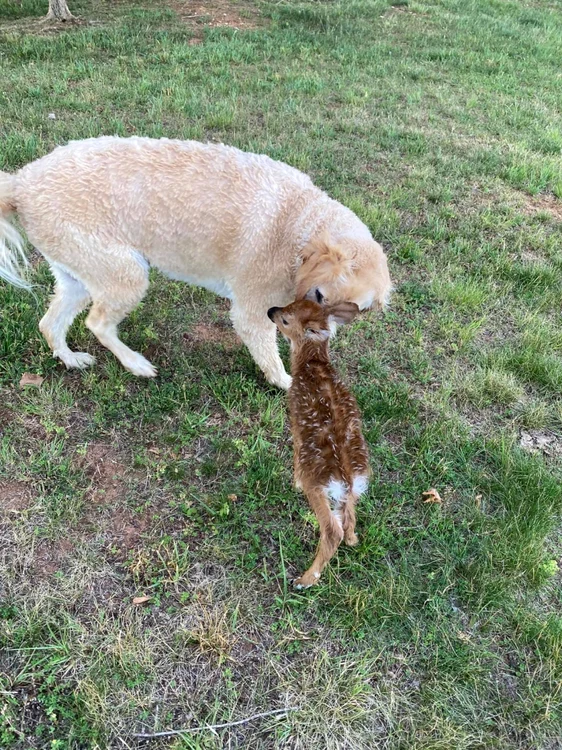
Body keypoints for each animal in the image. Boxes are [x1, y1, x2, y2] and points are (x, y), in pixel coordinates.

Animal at [0, 137, 390, 390]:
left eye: (347, 311)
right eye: (320, 294)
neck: (299, 223)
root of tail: (21, 183)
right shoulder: (253, 312)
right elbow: (269, 352)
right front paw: (285, 382)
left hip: (79, 273)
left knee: (50, 323)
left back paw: (70, 358)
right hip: (125, 272)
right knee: (97, 323)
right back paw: (136, 364)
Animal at [266, 298, 368, 588]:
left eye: (286, 320)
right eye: (293, 302)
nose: (271, 311)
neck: (313, 364)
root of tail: (347, 478)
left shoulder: (295, 421)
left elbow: (295, 451)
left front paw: (294, 481)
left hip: (318, 484)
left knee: (333, 529)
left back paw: (305, 579)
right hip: (351, 489)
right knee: (349, 516)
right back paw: (353, 539)